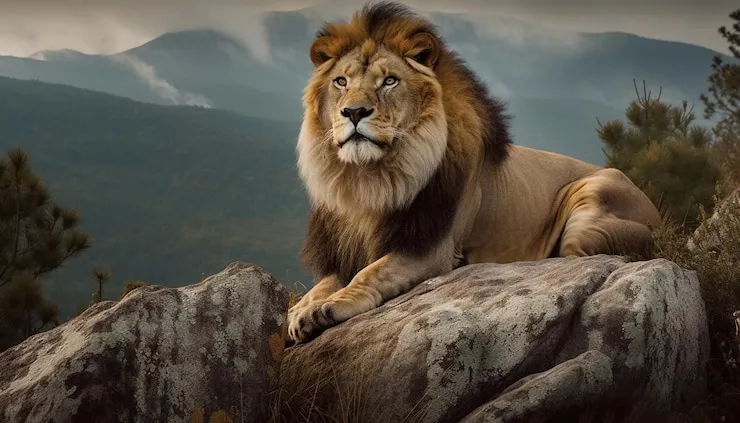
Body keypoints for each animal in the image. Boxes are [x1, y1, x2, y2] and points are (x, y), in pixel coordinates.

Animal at [287, 1, 661, 344]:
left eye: (389, 81)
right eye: (341, 82)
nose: (353, 112)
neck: (369, 180)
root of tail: (656, 213)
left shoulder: (431, 249)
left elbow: (370, 273)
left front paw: (329, 306)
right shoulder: (344, 249)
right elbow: (326, 281)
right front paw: (301, 309)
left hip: (591, 210)